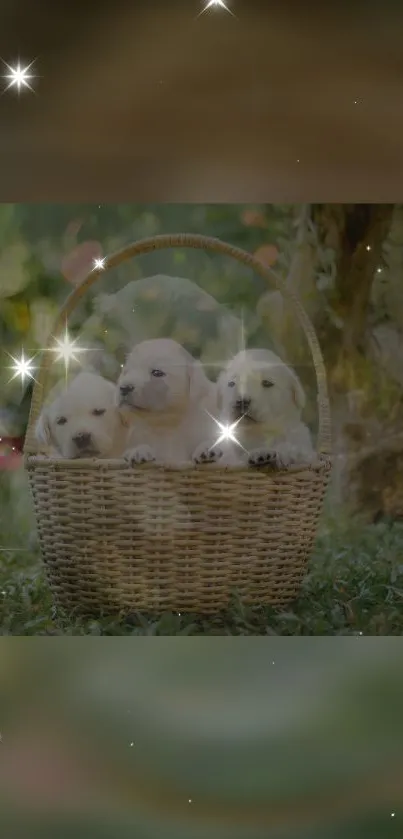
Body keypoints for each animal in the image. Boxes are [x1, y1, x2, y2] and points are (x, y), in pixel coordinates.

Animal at [117, 338, 218, 466]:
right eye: (126, 372)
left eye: (157, 373)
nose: (124, 388)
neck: (167, 425)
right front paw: (138, 450)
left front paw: (207, 448)